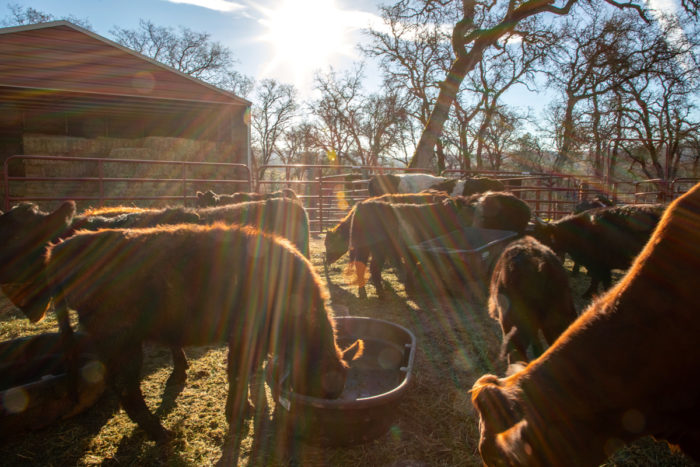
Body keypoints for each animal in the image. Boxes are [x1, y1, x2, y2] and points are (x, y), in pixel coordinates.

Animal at [0, 204, 360, 442]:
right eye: (325, 389)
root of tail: (61, 248)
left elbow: (247, 372)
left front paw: (244, 407)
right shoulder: (244, 336)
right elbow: (238, 372)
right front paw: (236, 414)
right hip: (120, 338)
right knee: (127, 390)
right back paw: (163, 435)